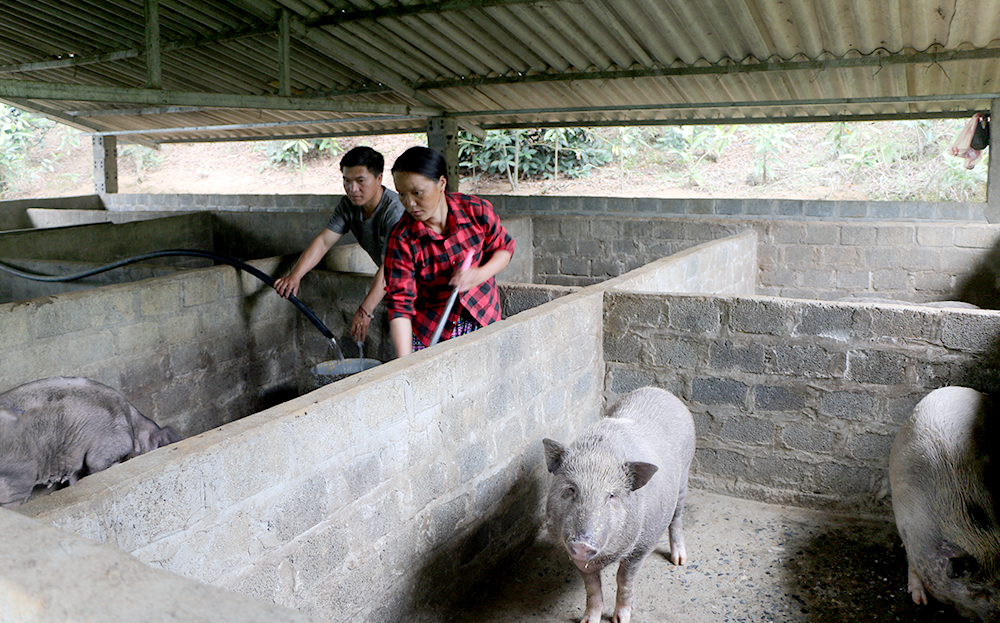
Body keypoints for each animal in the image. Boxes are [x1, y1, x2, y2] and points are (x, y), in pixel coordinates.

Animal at [548, 388, 696, 620]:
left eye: (612, 496)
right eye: (571, 489)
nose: (582, 543)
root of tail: (661, 391)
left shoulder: (642, 547)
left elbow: (624, 580)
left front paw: (621, 619)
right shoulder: (580, 560)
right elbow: (592, 586)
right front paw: (587, 621)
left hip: (684, 476)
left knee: (677, 518)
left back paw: (679, 560)